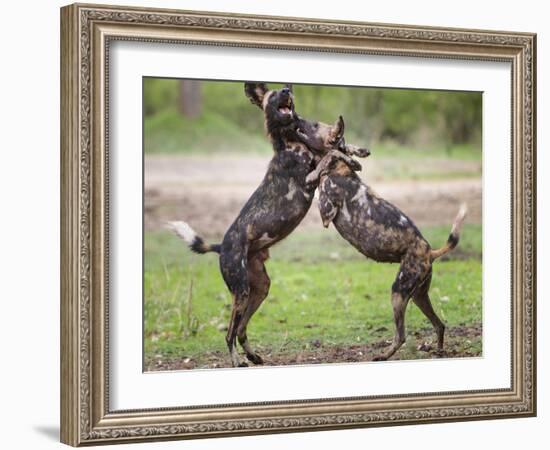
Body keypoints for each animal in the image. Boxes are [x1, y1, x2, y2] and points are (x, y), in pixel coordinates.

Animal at [171, 82, 370, 368]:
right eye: (274, 95)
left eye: (285, 90)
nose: (287, 89)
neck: (291, 142)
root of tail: (222, 246)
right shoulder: (310, 177)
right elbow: (332, 152)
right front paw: (351, 157)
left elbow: (336, 146)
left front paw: (357, 152)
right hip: (241, 292)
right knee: (230, 332)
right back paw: (237, 361)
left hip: (260, 288)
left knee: (241, 329)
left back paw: (253, 356)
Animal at [304, 118, 468, 360]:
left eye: (313, 125)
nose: (295, 121)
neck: (339, 171)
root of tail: (429, 251)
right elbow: (340, 153)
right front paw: (355, 154)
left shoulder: (325, 213)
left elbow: (330, 155)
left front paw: (339, 159)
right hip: (418, 296)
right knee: (439, 324)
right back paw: (439, 351)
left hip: (398, 293)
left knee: (401, 335)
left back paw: (383, 355)